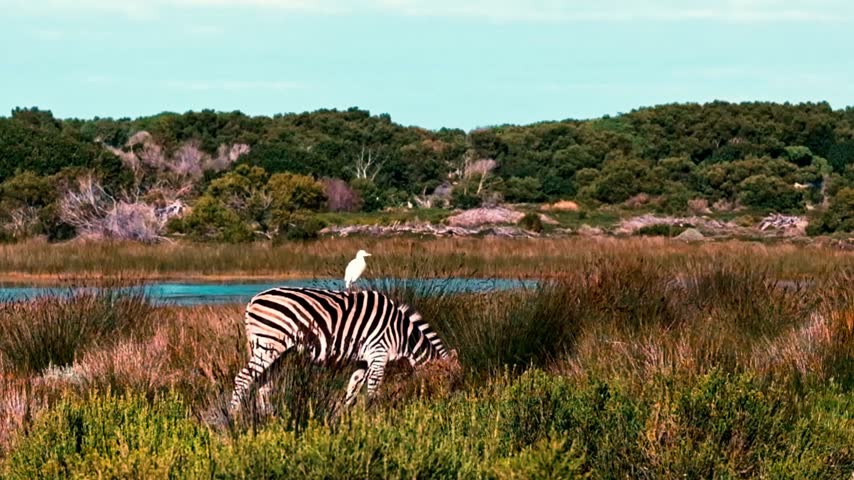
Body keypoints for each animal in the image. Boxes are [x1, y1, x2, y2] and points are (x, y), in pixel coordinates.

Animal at [229, 287, 455, 413]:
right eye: (449, 378)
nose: (447, 404)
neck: (402, 334)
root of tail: (253, 300)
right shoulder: (379, 354)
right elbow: (373, 389)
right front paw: (374, 416)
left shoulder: (364, 360)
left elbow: (353, 387)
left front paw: (348, 417)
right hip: (269, 344)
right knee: (243, 378)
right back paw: (234, 417)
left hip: (276, 351)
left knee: (264, 382)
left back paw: (267, 416)